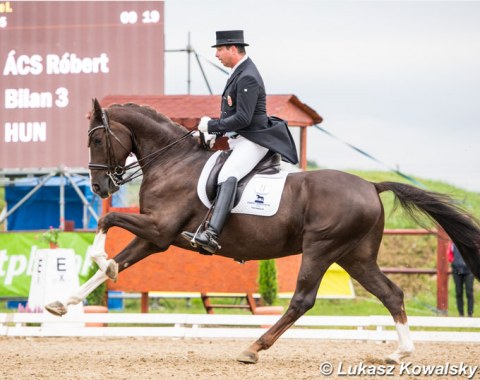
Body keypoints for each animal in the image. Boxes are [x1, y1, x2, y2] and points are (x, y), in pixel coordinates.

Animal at [45, 98, 480, 366]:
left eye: (96, 138)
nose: (99, 187)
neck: (172, 161)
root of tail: (371, 186)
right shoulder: (157, 238)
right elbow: (116, 261)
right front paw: (62, 303)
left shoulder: (161, 228)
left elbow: (107, 223)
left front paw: (96, 262)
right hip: (355, 256)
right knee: (391, 293)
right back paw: (398, 353)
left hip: (322, 248)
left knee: (302, 300)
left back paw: (253, 348)